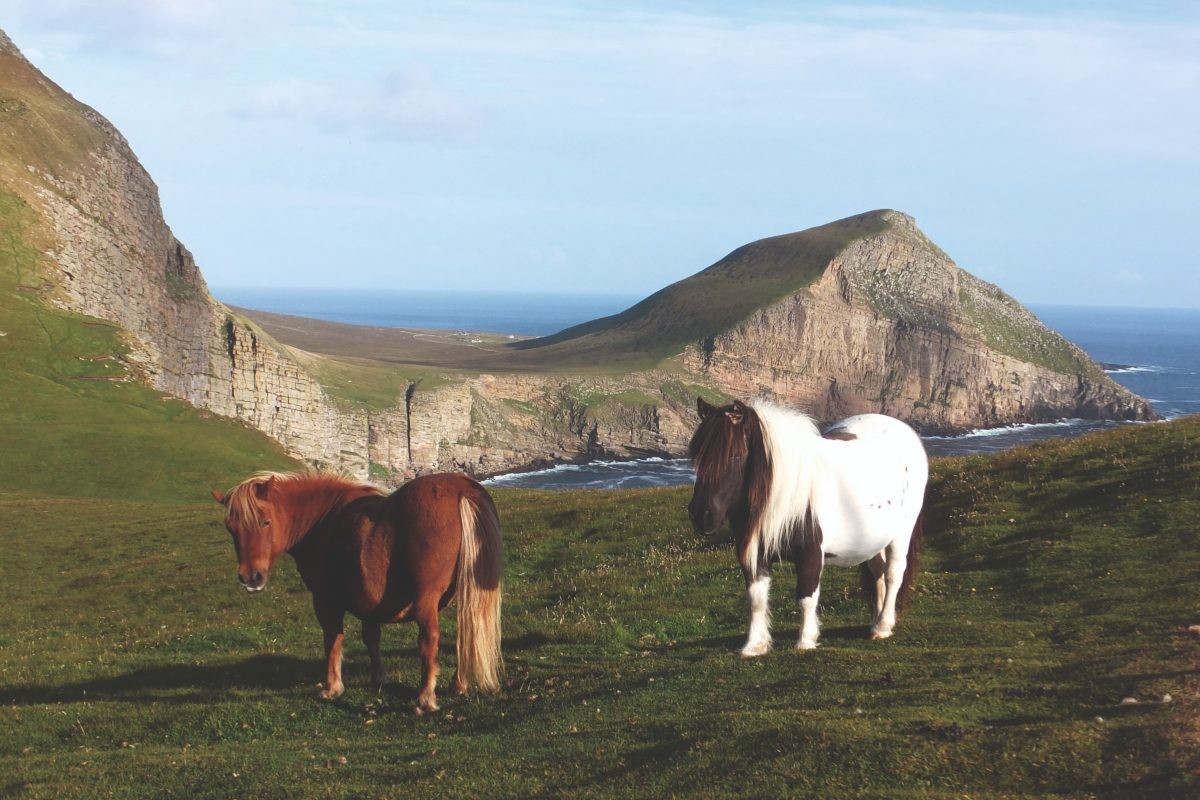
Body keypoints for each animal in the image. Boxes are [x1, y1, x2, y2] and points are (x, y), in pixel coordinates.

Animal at [211, 470, 501, 714]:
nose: (251, 578)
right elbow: (371, 638)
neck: (324, 520)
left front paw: (332, 687)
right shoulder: (369, 605)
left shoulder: (325, 602)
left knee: (429, 640)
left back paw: (425, 698)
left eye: (265, 522)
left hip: (425, 601)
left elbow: (333, 640)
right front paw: (379, 678)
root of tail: (461, 488)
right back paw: (458, 684)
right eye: (230, 528)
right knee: (467, 629)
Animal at [686, 400, 926, 657]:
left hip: (901, 534)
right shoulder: (755, 555)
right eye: (697, 456)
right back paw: (876, 623)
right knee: (878, 573)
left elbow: (806, 595)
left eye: (735, 455)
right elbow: (756, 598)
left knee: (893, 575)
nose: (701, 516)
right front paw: (755, 645)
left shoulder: (811, 554)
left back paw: (883, 625)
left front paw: (805, 640)